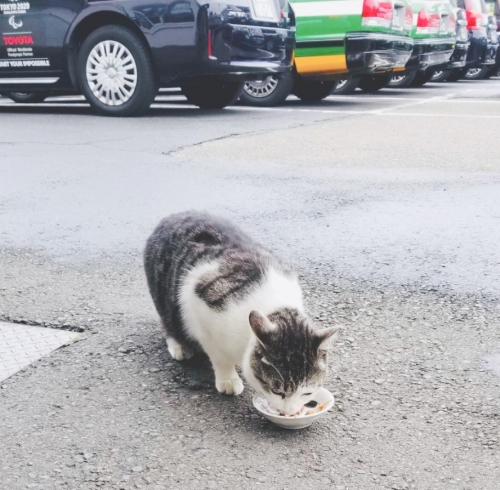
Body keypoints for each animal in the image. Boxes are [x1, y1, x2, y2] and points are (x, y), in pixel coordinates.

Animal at [143, 212, 336, 416]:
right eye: (277, 391)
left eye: (307, 393)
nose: (289, 412)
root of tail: (172, 216)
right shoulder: (201, 311)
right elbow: (219, 356)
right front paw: (228, 379)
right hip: (164, 296)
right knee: (168, 321)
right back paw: (178, 345)